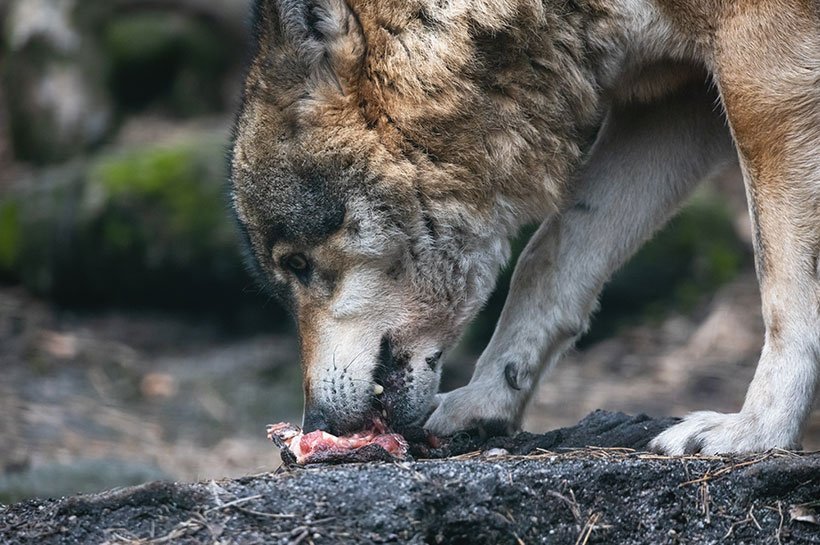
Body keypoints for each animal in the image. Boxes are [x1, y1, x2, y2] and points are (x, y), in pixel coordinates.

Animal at [229, 0, 820, 452]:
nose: (318, 424)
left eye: (297, 263)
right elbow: (547, 258)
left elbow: (783, 286)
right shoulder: (673, 105)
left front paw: (757, 432)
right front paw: (487, 399)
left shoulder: (765, 65)